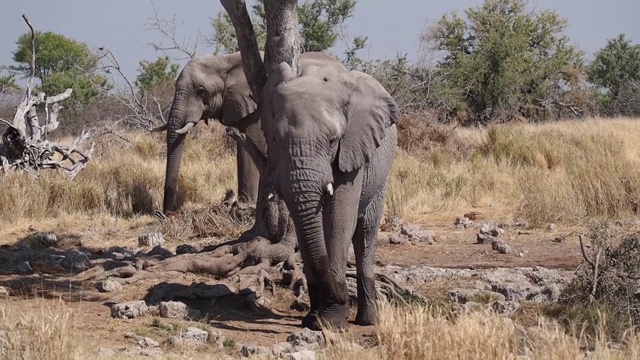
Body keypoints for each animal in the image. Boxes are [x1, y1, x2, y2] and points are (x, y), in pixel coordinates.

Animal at [162, 51, 348, 214]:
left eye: (201, 91)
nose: (167, 213)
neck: (223, 61)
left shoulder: (256, 109)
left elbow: (249, 144)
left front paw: (244, 203)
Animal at [258, 61, 398, 330]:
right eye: (275, 140)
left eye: (333, 140)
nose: (343, 295)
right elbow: (304, 228)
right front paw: (313, 320)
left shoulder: (352, 150)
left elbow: (339, 221)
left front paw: (331, 322)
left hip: (380, 174)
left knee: (365, 232)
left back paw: (367, 321)